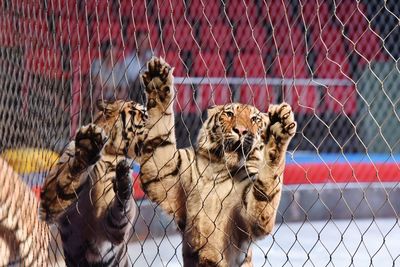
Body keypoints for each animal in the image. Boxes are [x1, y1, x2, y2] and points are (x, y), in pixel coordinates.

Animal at [39, 99, 148, 266]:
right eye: (144, 115)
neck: (110, 153)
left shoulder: (114, 231)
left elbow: (122, 209)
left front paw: (124, 181)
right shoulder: (50, 202)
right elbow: (71, 175)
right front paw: (88, 145)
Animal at [138, 57, 296, 266]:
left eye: (254, 119)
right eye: (229, 114)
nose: (241, 131)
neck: (219, 168)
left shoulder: (250, 216)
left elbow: (267, 185)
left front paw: (278, 129)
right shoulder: (164, 173)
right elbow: (158, 129)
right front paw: (157, 79)